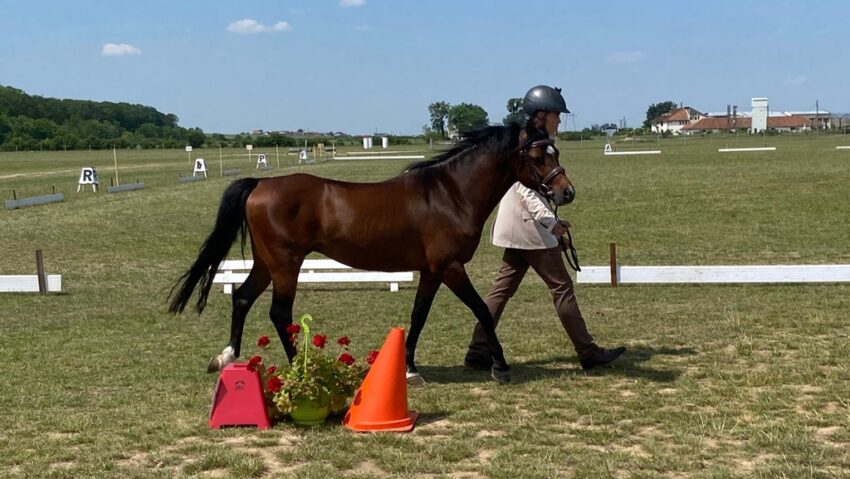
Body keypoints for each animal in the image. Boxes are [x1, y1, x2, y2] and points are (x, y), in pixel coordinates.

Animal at [168, 123, 575, 384]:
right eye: (538, 154)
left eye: (555, 150)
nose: (566, 192)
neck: (450, 194)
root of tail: (260, 183)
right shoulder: (451, 267)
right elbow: (482, 310)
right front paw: (501, 366)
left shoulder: (432, 271)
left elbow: (419, 315)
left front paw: (409, 369)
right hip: (285, 265)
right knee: (279, 313)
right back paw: (300, 368)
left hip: (266, 264)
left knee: (241, 298)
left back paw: (226, 357)